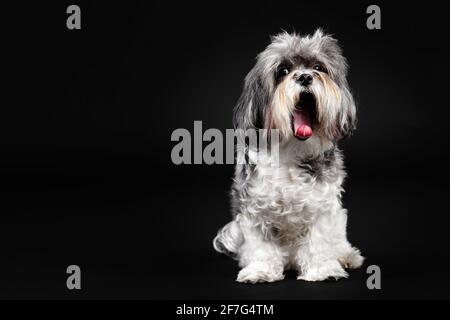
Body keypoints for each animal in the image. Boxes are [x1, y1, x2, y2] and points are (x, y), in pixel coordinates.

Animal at [213, 29, 364, 282]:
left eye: (318, 67)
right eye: (282, 71)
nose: (304, 77)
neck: (291, 151)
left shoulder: (323, 208)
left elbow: (319, 240)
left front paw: (322, 269)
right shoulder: (255, 208)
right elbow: (262, 245)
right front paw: (261, 270)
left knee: (337, 240)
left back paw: (346, 256)